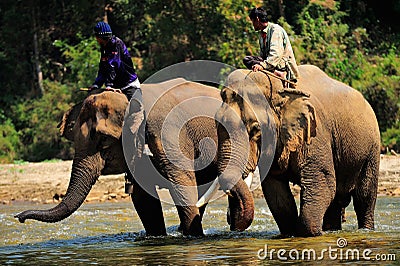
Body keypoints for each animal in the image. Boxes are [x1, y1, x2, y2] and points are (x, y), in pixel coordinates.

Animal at [15, 78, 255, 236]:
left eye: (103, 141)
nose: (19, 218)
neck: (127, 98)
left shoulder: (167, 132)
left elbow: (182, 185)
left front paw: (193, 238)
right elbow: (143, 198)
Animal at [209, 64, 382, 237]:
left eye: (256, 129)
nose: (230, 218)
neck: (280, 89)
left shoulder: (314, 134)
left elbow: (322, 183)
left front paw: (309, 233)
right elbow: (277, 193)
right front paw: (290, 234)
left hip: (372, 149)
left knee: (364, 197)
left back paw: (365, 230)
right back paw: (332, 230)